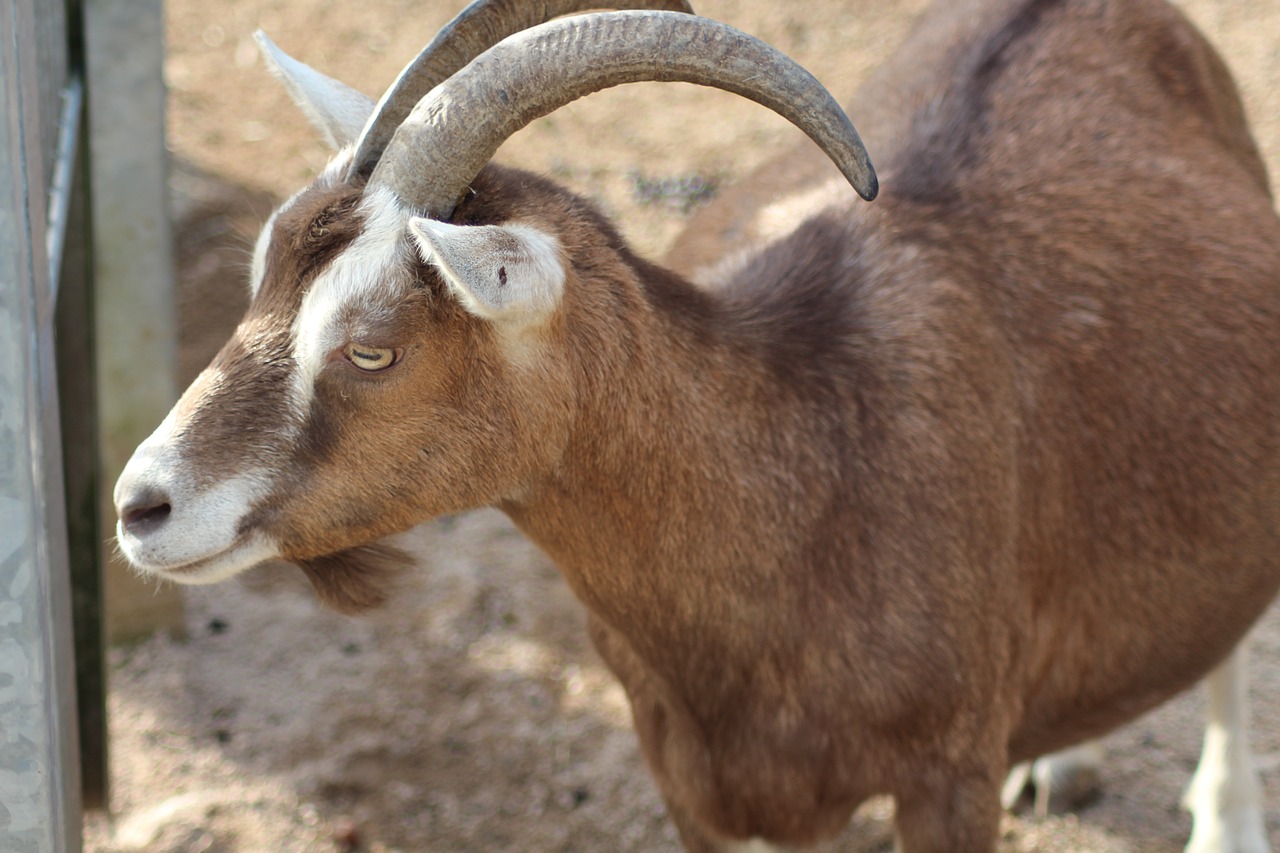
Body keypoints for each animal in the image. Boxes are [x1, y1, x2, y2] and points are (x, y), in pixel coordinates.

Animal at [112, 0, 1280, 845]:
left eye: (372, 347)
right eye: (260, 282)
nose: (140, 505)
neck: (811, 475)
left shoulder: (946, 776)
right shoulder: (690, 777)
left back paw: (1224, 818)